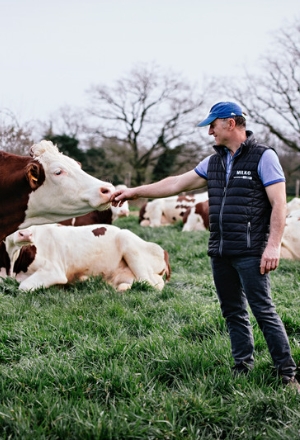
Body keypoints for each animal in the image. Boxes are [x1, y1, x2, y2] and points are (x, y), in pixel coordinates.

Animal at [4, 223, 171, 292]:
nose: (25, 234)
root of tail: (163, 251)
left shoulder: (53, 271)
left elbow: (23, 287)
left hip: (127, 239)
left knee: (152, 284)